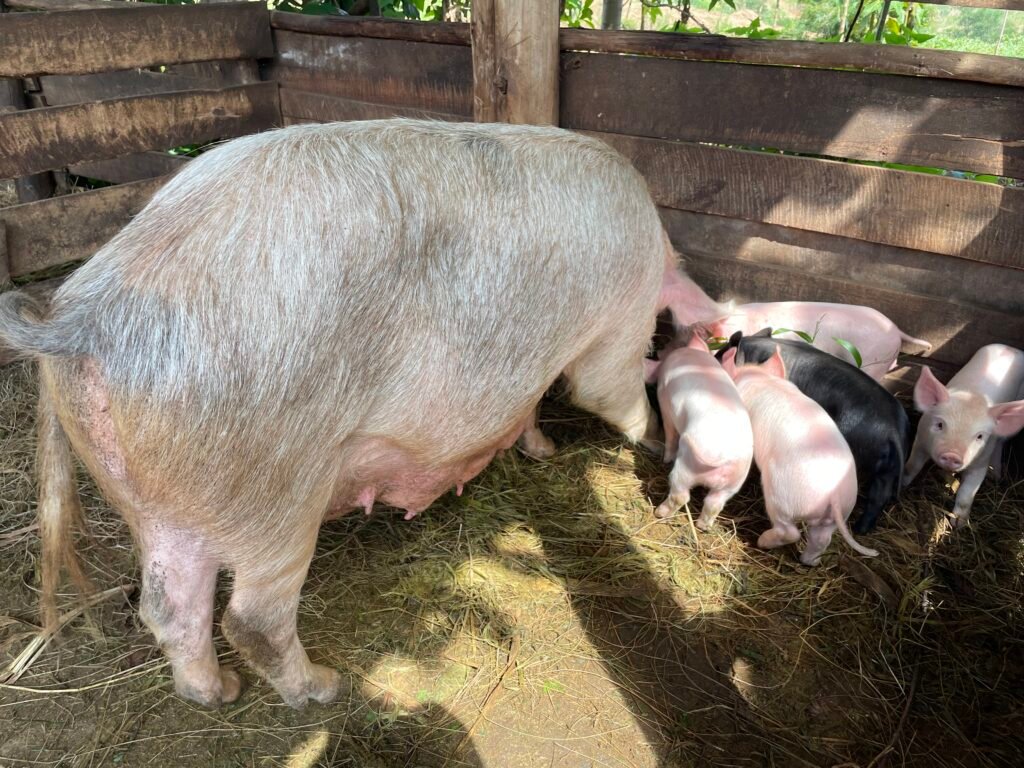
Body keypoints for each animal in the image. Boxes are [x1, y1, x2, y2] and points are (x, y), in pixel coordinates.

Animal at [0, 120, 724, 709]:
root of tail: (82, 317)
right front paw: (655, 445)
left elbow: (529, 408)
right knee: (252, 618)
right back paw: (323, 688)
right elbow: (606, 392)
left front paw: (539, 449)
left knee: (168, 608)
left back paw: (217, 693)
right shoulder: (620, 319)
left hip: (155, 501)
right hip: (277, 486)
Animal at [646, 334, 753, 529]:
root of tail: (722, 456)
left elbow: (670, 433)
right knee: (714, 503)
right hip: (733, 483)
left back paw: (659, 513)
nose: (658, 350)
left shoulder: (664, 400)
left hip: (688, 467)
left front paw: (665, 459)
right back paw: (702, 527)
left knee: (681, 495)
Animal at [720, 347, 879, 565]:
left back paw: (761, 542)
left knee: (789, 532)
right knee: (821, 539)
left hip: (780, 497)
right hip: (836, 514)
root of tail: (834, 494)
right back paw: (810, 562)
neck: (761, 378)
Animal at [904, 344, 1024, 527]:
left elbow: (967, 492)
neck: (972, 395)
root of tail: (1011, 349)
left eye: (979, 436)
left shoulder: (980, 462)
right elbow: (913, 466)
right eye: (940, 424)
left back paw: (995, 476)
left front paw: (959, 524)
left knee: (1001, 443)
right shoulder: (920, 440)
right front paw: (901, 482)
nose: (952, 454)